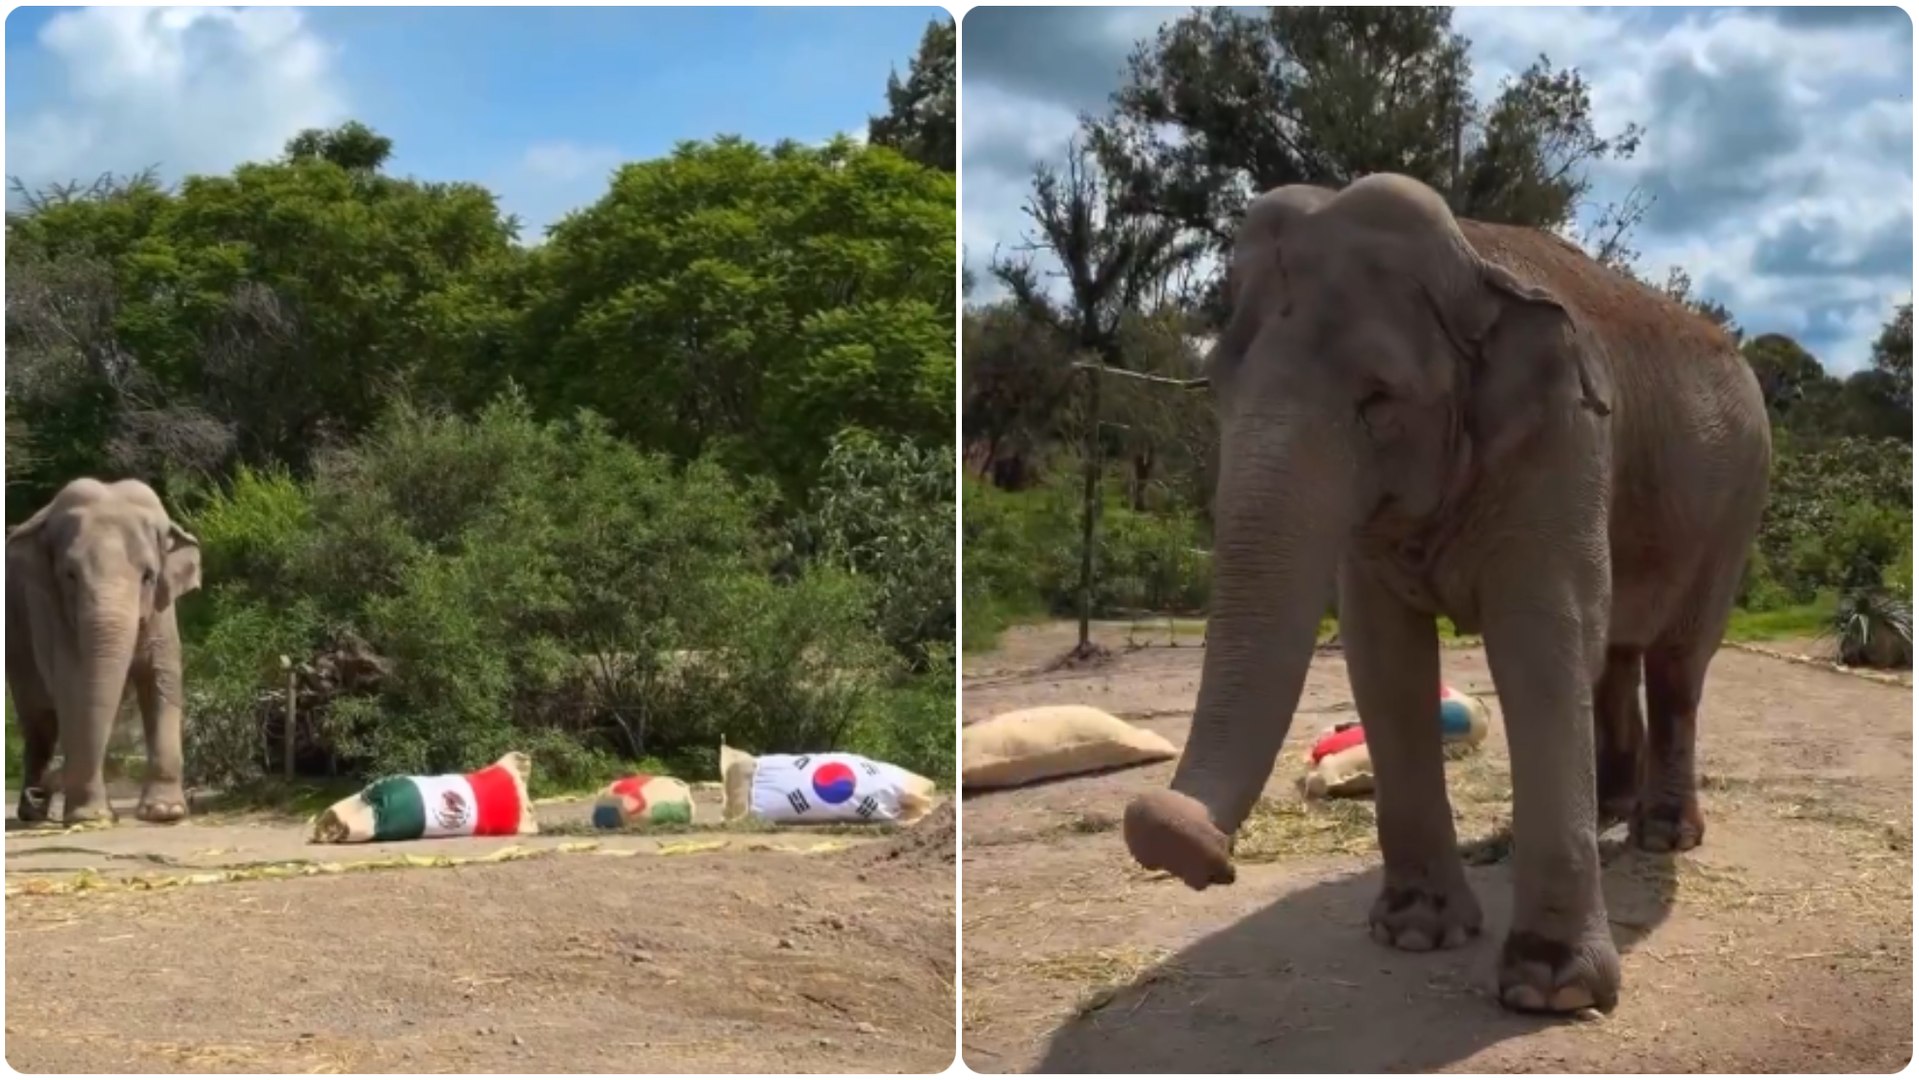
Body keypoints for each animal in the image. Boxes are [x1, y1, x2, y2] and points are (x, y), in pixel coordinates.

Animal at [7, 478, 203, 826]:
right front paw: (90, 816)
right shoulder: (48, 609)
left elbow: (160, 677)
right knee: (39, 720)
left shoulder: (163, 609)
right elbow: (72, 684)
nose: (47, 787)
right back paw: (33, 812)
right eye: (70, 575)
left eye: (148, 576)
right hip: (17, 639)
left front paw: (165, 812)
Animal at [1122, 174, 1771, 1016]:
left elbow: (1541, 640)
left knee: (1674, 665)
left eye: (1377, 398)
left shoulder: (1565, 439)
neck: (1475, 263)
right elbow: (1384, 657)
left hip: (1733, 512)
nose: (1165, 829)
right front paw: (1413, 934)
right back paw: (1601, 813)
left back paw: (1661, 836)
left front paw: (1549, 991)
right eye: (1219, 387)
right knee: (1613, 656)